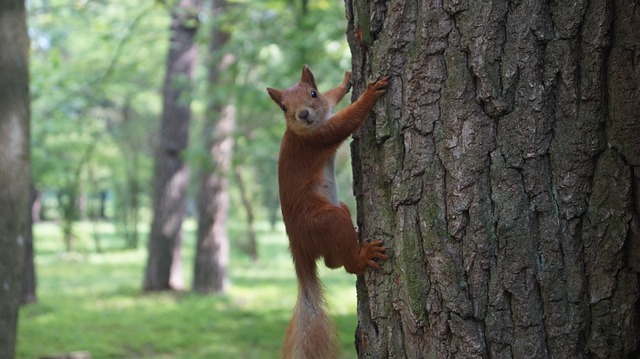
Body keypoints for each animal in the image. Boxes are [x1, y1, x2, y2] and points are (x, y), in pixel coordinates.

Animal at [266, 65, 388, 359]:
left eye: (313, 93)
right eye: (284, 107)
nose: (303, 114)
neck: (302, 129)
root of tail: (297, 244)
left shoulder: (325, 112)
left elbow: (333, 98)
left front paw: (345, 82)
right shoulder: (318, 137)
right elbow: (348, 121)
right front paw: (369, 94)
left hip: (338, 210)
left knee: (332, 262)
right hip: (328, 220)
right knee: (347, 264)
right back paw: (362, 256)